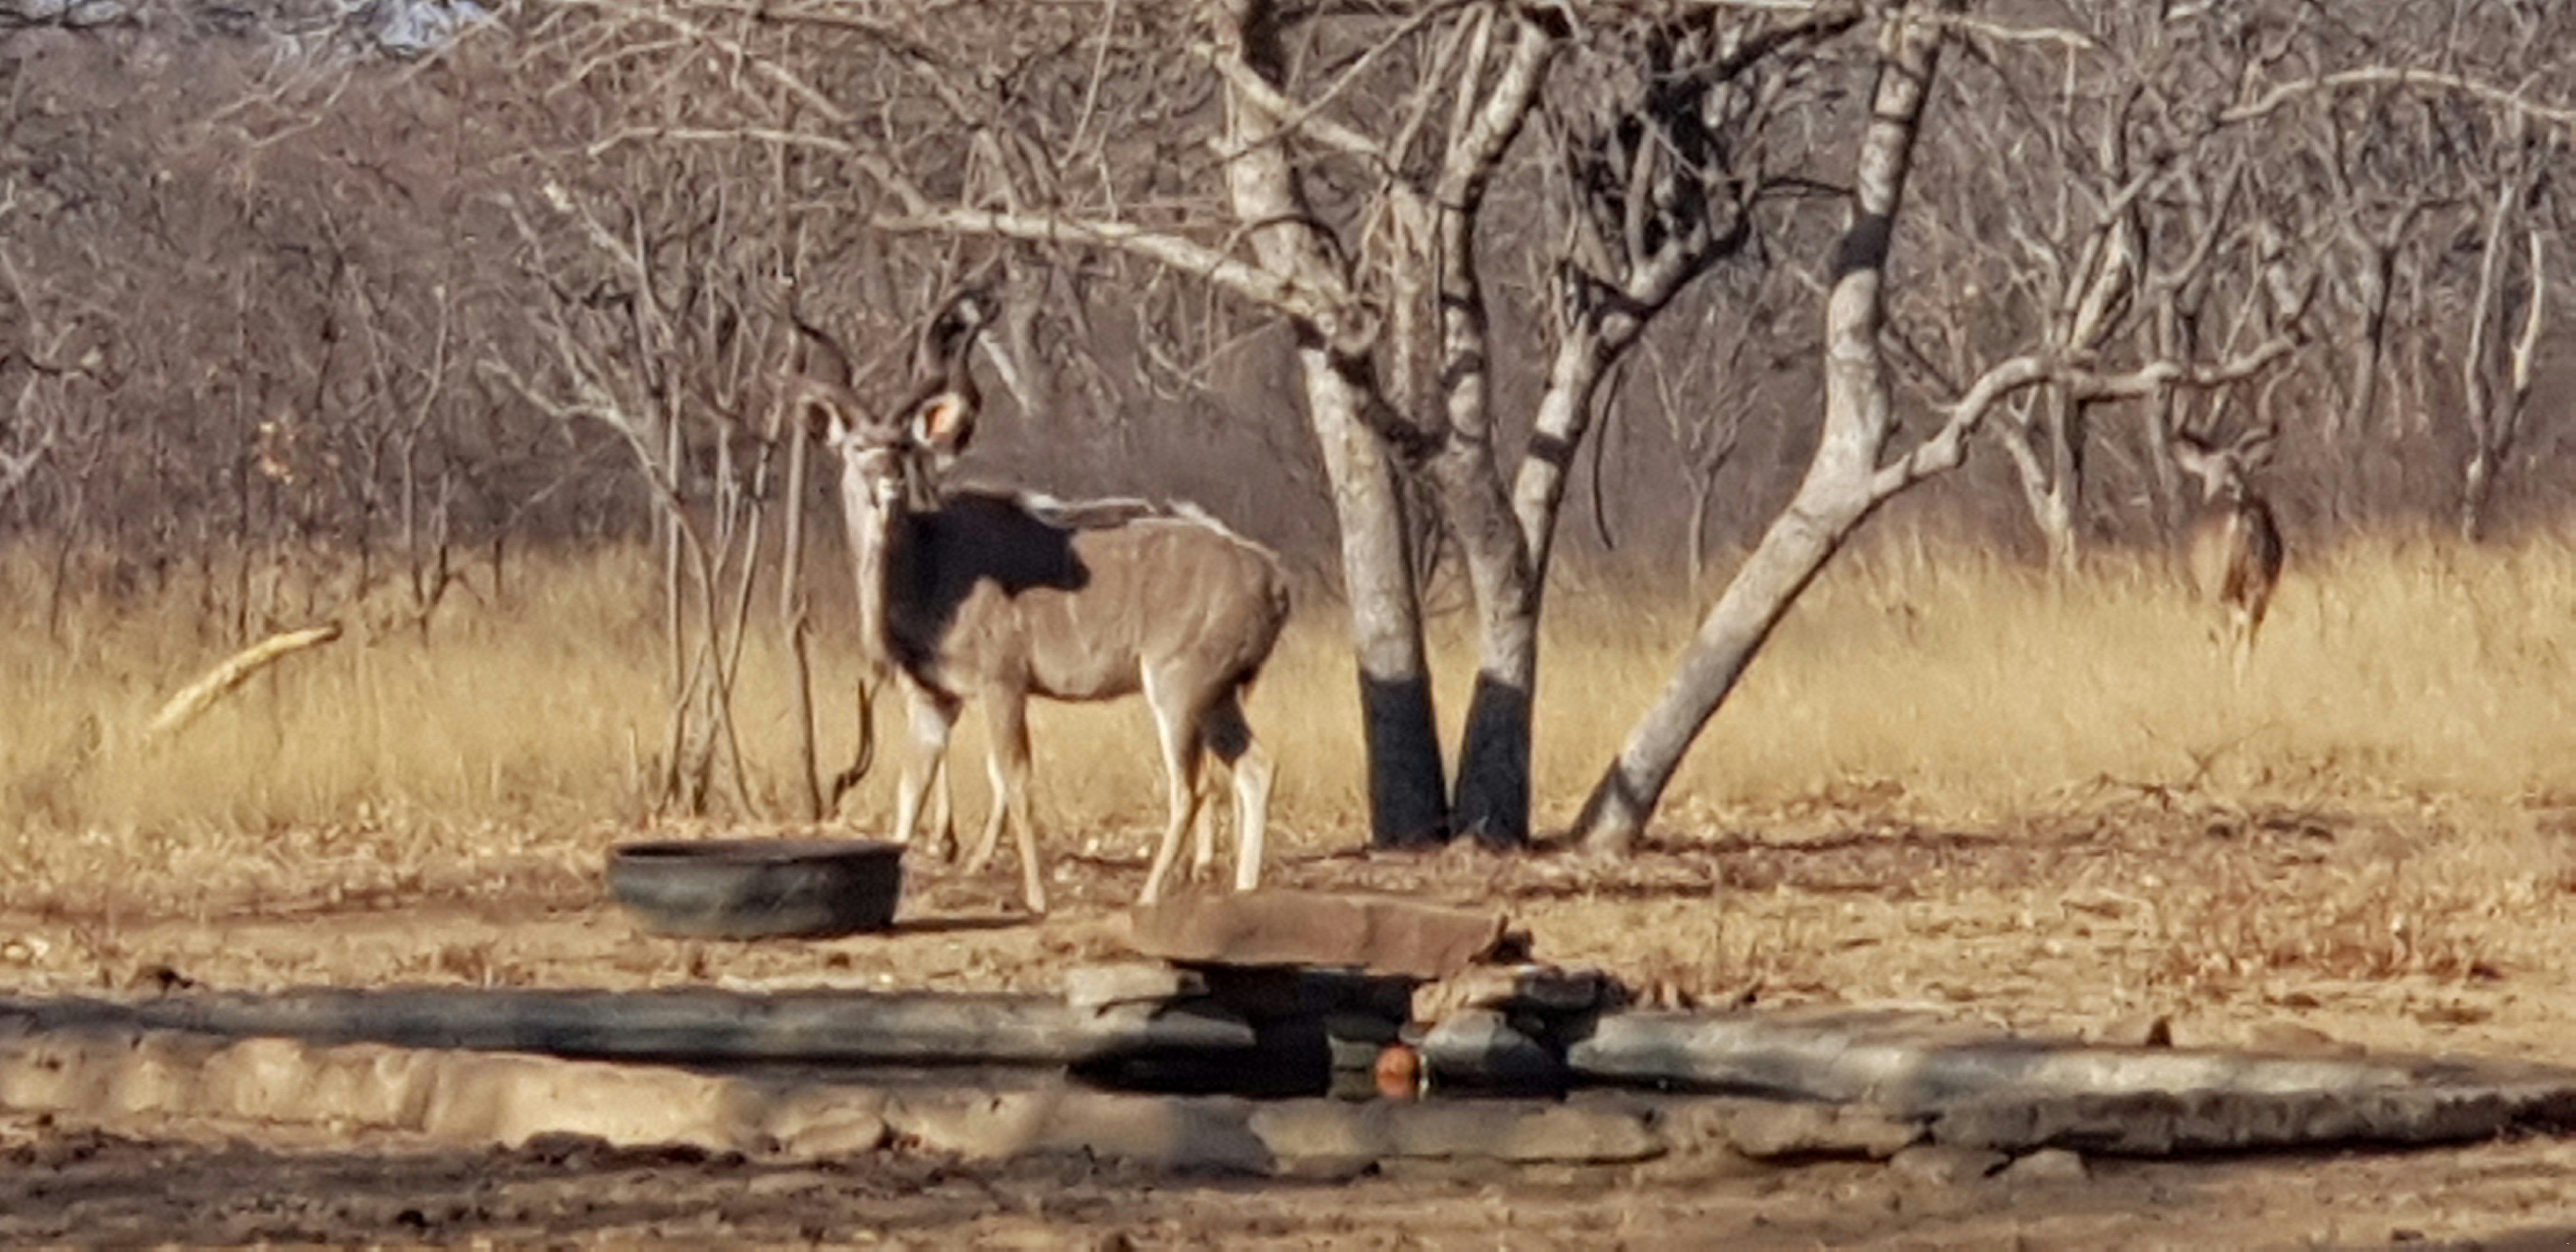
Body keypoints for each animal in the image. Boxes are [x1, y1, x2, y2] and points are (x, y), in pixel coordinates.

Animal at [793, 292, 1290, 914]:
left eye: (903, 447)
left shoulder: (1003, 682)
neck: (931, 567)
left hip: (1179, 685)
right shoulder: (935, 700)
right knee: (1255, 767)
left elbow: (1013, 779)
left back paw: (1150, 896)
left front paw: (1035, 897)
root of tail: (1274, 578)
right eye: (858, 447)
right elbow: (909, 796)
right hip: (1219, 694)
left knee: (1191, 787)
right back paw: (1244, 891)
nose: (887, 484)